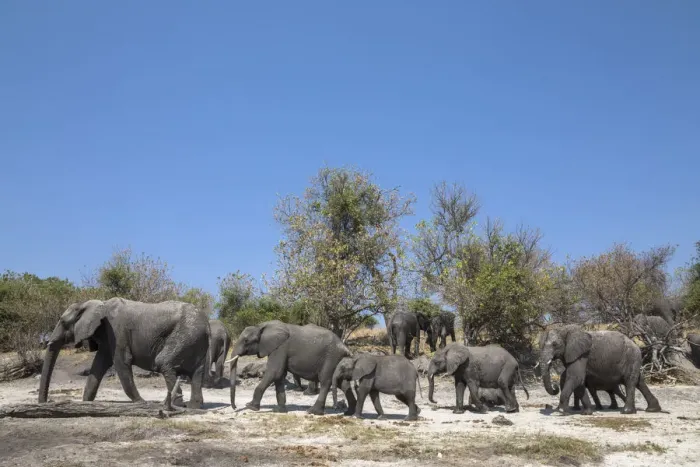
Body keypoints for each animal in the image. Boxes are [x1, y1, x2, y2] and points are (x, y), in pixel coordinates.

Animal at [38, 298, 210, 410]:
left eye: (63, 322)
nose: (46, 403)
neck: (94, 304)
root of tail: (207, 323)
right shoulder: (108, 336)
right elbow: (99, 364)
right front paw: (86, 403)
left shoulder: (117, 331)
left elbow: (121, 362)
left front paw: (141, 403)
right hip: (195, 340)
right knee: (197, 372)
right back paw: (193, 407)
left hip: (187, 335)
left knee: (163, 362)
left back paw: (172, 405)